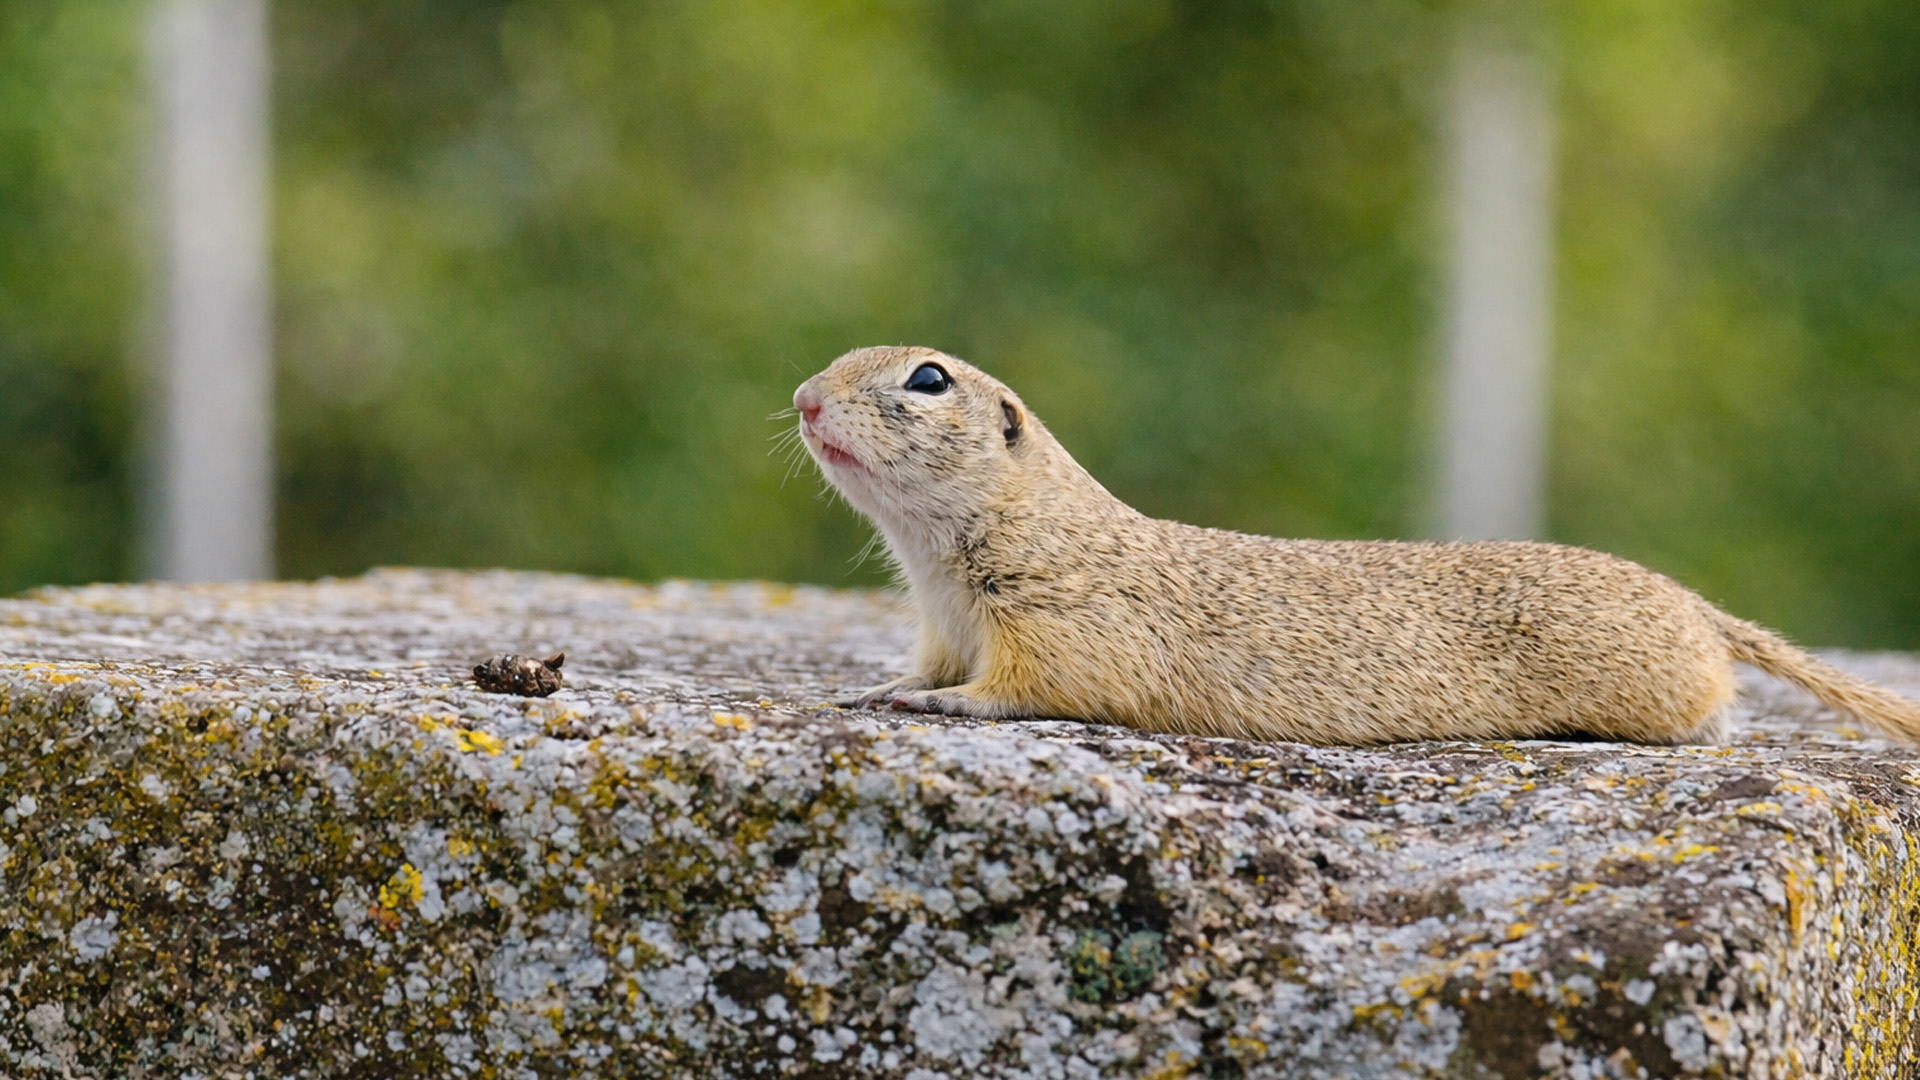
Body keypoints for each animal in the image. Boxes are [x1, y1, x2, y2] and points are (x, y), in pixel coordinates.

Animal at [792, 345, 1920, 746]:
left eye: (928, 379)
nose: (803, 398)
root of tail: (1694, 604)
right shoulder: (944, 624)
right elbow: (924, 666)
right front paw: (879, 686)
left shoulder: (1062, 626)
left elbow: (1020, 690)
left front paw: (935, 706)